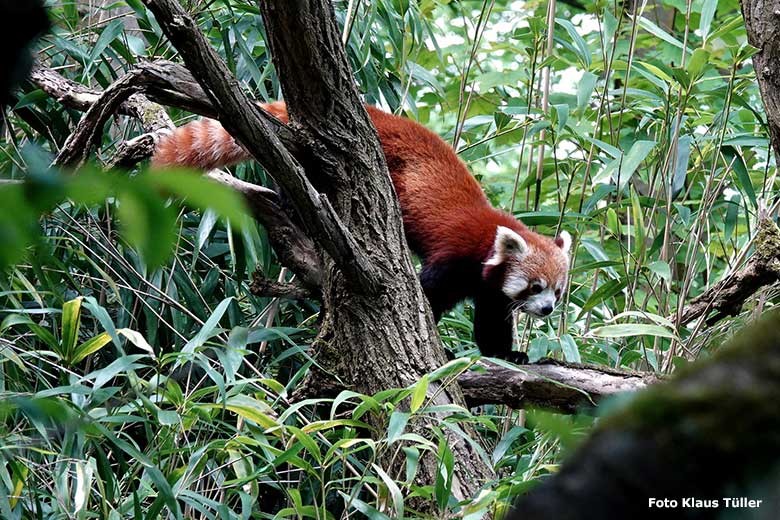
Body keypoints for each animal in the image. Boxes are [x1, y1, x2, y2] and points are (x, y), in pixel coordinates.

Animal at [155, 101, 572, 362]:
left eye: (557, 291)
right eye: (535, 286)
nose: (548, 309)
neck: (489, 242)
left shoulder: (489, 289)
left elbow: (491, 322)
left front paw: (506, 353)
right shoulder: (457, 255)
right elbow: (427, 294)